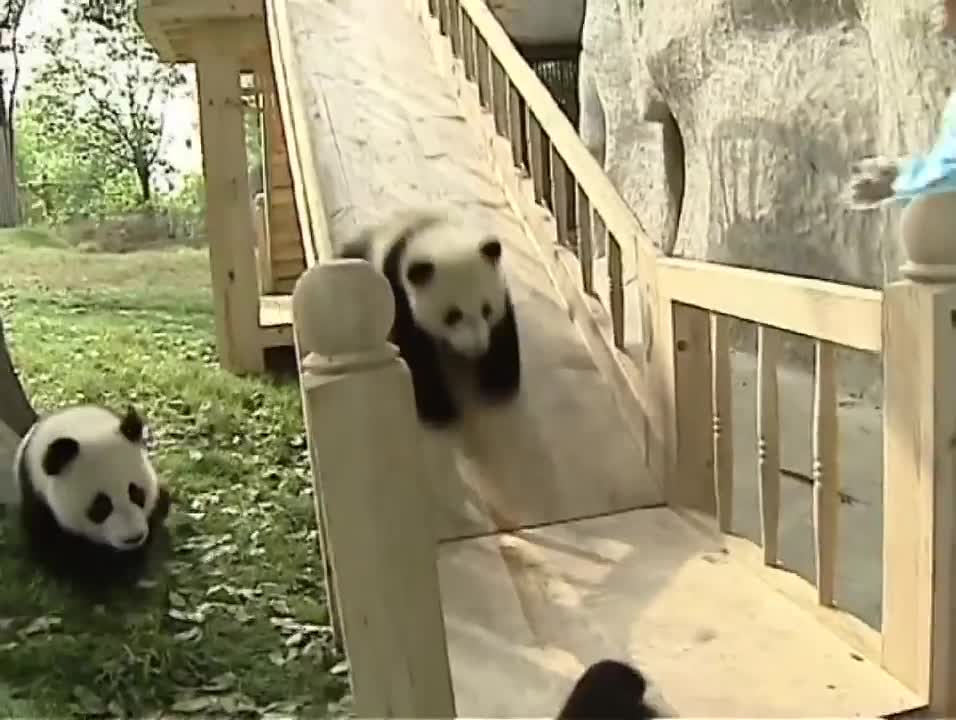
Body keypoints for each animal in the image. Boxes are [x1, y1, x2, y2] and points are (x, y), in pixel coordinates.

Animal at [340, 208, 524, 428]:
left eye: (486, 310)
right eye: (452, 315)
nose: (477, 348)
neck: (433, 231)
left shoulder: (498, 282)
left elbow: (502, 328)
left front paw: (497, 383)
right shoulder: (397, 287)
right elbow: (415, 346)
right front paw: (440, 410)